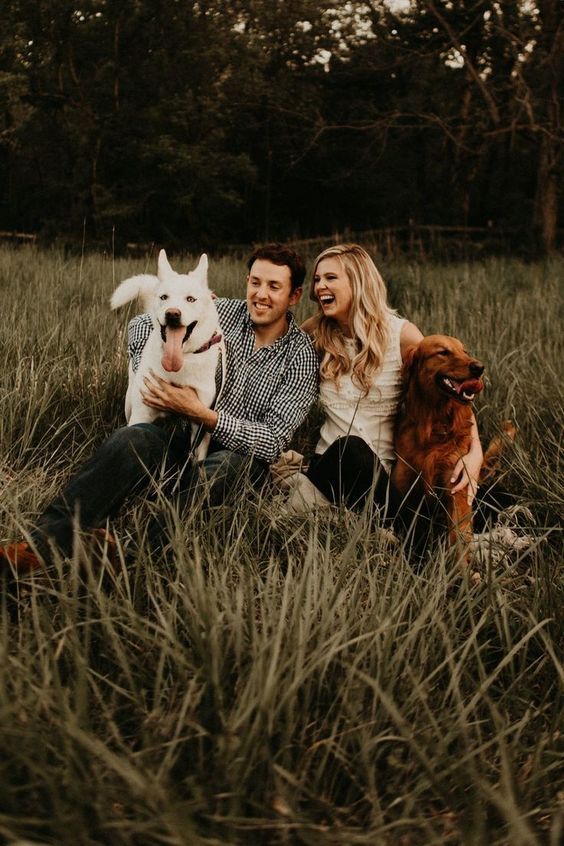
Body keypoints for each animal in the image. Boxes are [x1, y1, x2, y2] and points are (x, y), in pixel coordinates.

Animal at [110, 250, 223, 460]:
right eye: (164, 297)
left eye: (190, 299)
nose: (172, 314)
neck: (182, 360)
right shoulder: (141, 415)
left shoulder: (201, 426)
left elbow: (198, 460)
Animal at [392, 334, 484, 560]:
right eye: (443, 352)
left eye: (464, 351)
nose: (479, 367)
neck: (434, 423)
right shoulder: (404, 482)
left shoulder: (456, 483)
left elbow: (458, 537)